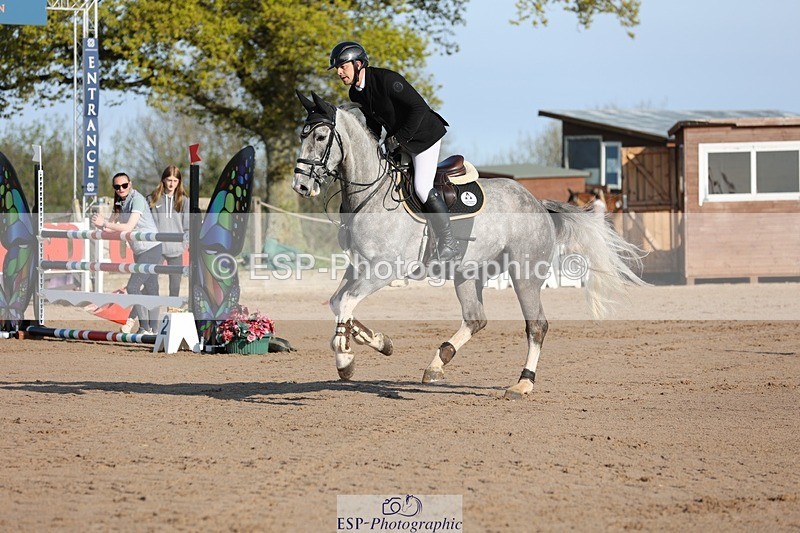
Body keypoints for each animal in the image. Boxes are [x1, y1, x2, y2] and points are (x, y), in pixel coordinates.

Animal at [292, 91, 646, 399]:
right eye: (302, 136)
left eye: (321, 138)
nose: (301, 186)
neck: (372, 193)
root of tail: (537, 203)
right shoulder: (359, 266)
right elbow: (338, 303)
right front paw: (378, 342)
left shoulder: (384, 269)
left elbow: (346, 303)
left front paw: (345, 359)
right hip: (468, 273)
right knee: (476, 318)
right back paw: (437, 363)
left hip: (525, 274)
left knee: (536, 325)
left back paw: (522, 384)